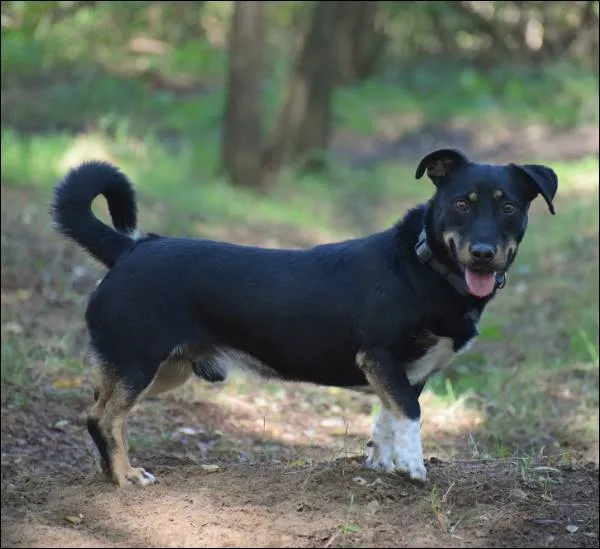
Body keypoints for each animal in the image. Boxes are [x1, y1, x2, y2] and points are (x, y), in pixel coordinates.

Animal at [50, 148, 556, 486]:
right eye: (462, 204)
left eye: (509, 206)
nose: (484, 253)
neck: (423, 266)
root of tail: (130, 246)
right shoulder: (381, 357)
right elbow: (409, 416)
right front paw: (412, 467)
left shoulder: (405, 373)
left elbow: (387, 418)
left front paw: (381, 463)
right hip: (138, 363)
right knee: (103, 418)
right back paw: (125, 477)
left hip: (162, 370)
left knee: (100, 412)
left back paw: (110, 472)